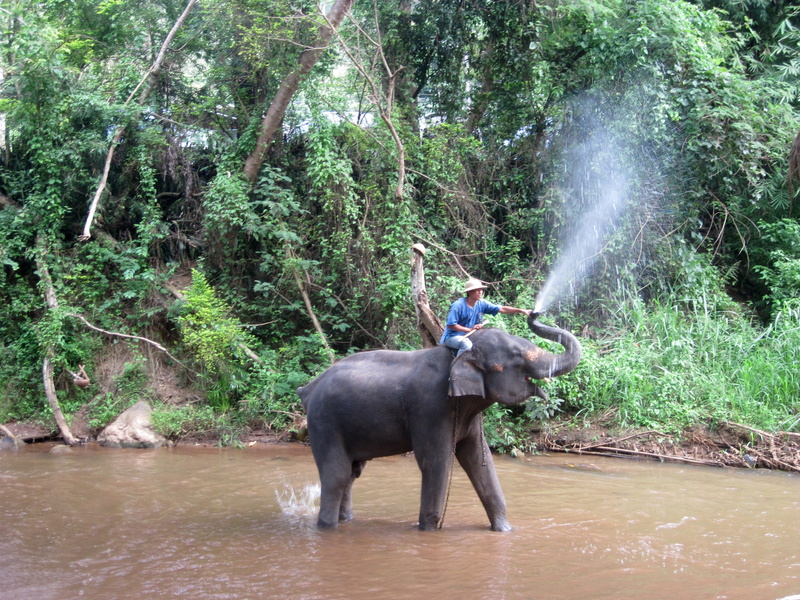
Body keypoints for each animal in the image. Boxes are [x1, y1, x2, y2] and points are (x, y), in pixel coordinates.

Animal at [296, 312, 582, 531]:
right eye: (515, 354)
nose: (534, 313)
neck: (459, 355)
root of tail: (309, 388)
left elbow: (480, 461)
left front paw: (505, 531)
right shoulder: (430, 408)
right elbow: (437, 462)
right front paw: (429, 531)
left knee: (352, 473)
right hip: (324, 422)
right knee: (337, 475)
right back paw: (327, 527)